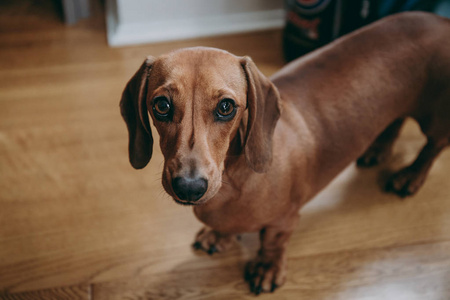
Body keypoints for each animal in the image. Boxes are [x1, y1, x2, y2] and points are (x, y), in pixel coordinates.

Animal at [121, 12, 450, 296]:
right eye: (161, 105)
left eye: (226, 107)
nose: (189, 188)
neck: (233, 177)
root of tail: (440, 19)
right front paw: (218, 235)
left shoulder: (284, 220)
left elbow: (273, 243)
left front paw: (267, 268)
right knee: (396, 120)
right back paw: (379, 150)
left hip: (436, 119)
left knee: (432, 147)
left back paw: (411, 176)